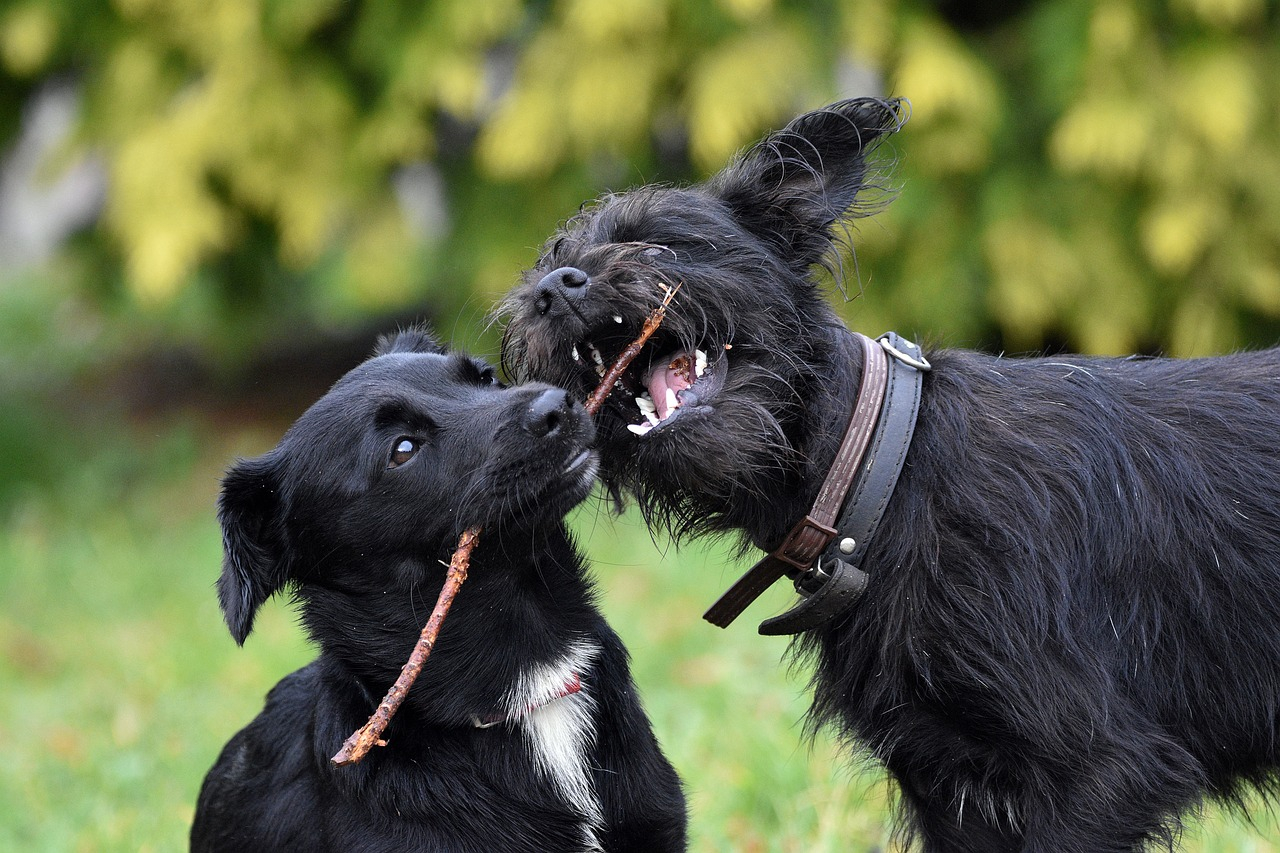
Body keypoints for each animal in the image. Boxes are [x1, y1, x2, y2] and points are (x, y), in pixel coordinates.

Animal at [499, 96, 1280, 845]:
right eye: (543, 266)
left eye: (661, 241)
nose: (552, 289)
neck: (882, 467)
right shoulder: (953, 785)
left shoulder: (1097, 771)